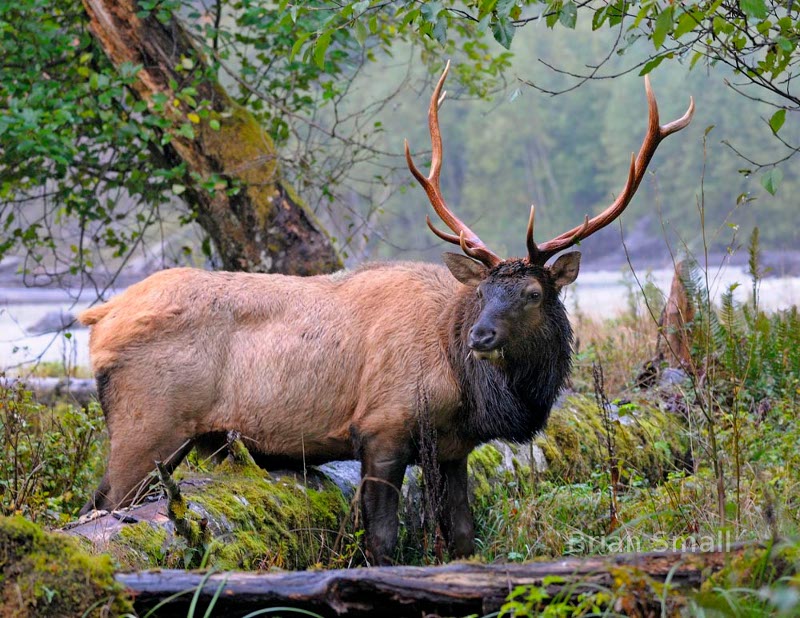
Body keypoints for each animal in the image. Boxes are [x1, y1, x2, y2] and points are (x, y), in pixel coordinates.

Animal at [79, 63, 692, 564]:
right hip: (147, 425)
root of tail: (98, 318)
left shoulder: (452, 448)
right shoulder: (382, 428)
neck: (470, 389)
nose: (481, 336)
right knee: (101, 507)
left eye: (532, 294)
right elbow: (380, 540)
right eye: (483, 292)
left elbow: (462, 536)